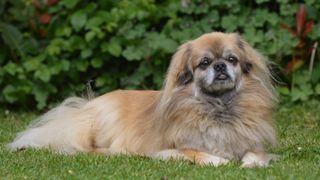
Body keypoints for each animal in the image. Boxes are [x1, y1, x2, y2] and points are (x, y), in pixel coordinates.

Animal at [8, 32, 278, 167]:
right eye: (204, 63)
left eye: (232, 60)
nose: (220, 65)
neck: (218, 106)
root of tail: (84, 108)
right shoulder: (172, 148)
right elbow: (204, 156)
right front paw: (220, 160)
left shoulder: (251, 144)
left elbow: (254, 156)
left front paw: (251, 164)